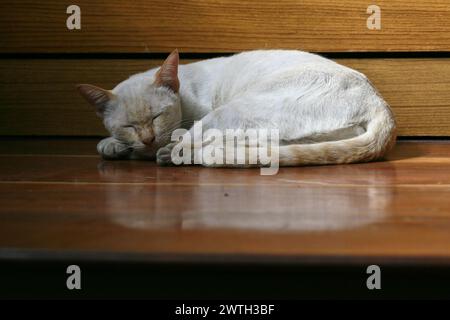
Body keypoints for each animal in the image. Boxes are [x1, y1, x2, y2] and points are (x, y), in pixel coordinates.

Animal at [79, 49, 396, 168]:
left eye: (158, 116)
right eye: (128, 126)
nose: (147, 139)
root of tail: (381, 106)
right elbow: (110, 141)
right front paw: (114, 145)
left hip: (232, 111)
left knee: (196, 148)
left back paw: (167, 155)